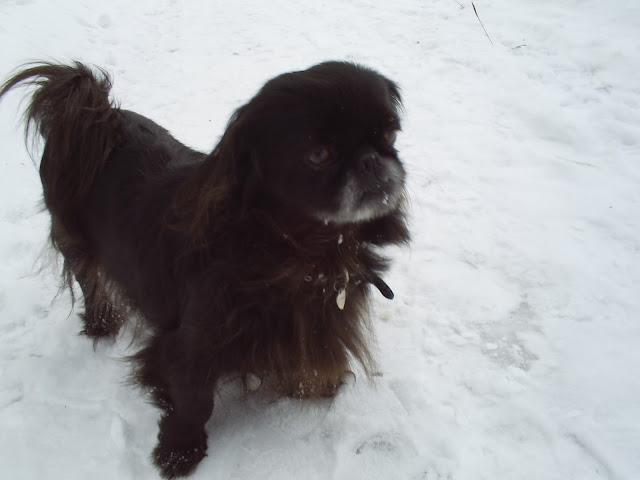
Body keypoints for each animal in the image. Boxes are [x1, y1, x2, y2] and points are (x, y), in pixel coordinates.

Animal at [0, 61, 409, 478]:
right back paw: (102, 323)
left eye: (390, 134)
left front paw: (312, 384)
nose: (371, 159)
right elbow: (195, 399)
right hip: (76, 244)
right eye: (321, 154)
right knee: (91, 283)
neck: (296, 251)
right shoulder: (189, 345)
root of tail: (94, 113)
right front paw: (179, 450)